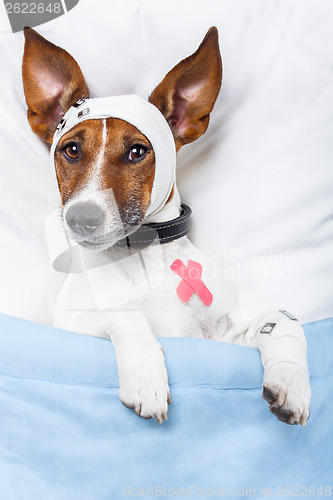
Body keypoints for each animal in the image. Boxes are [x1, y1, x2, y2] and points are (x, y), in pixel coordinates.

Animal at [22, 27, 310, 426]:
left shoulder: (220, 340)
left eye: (137, 151)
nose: (82, 217)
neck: (144, 253)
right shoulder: (68, 326)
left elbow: (280, 319)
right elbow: (123, 314)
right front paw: (146, 378)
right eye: (72, 150)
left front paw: (292, 379)